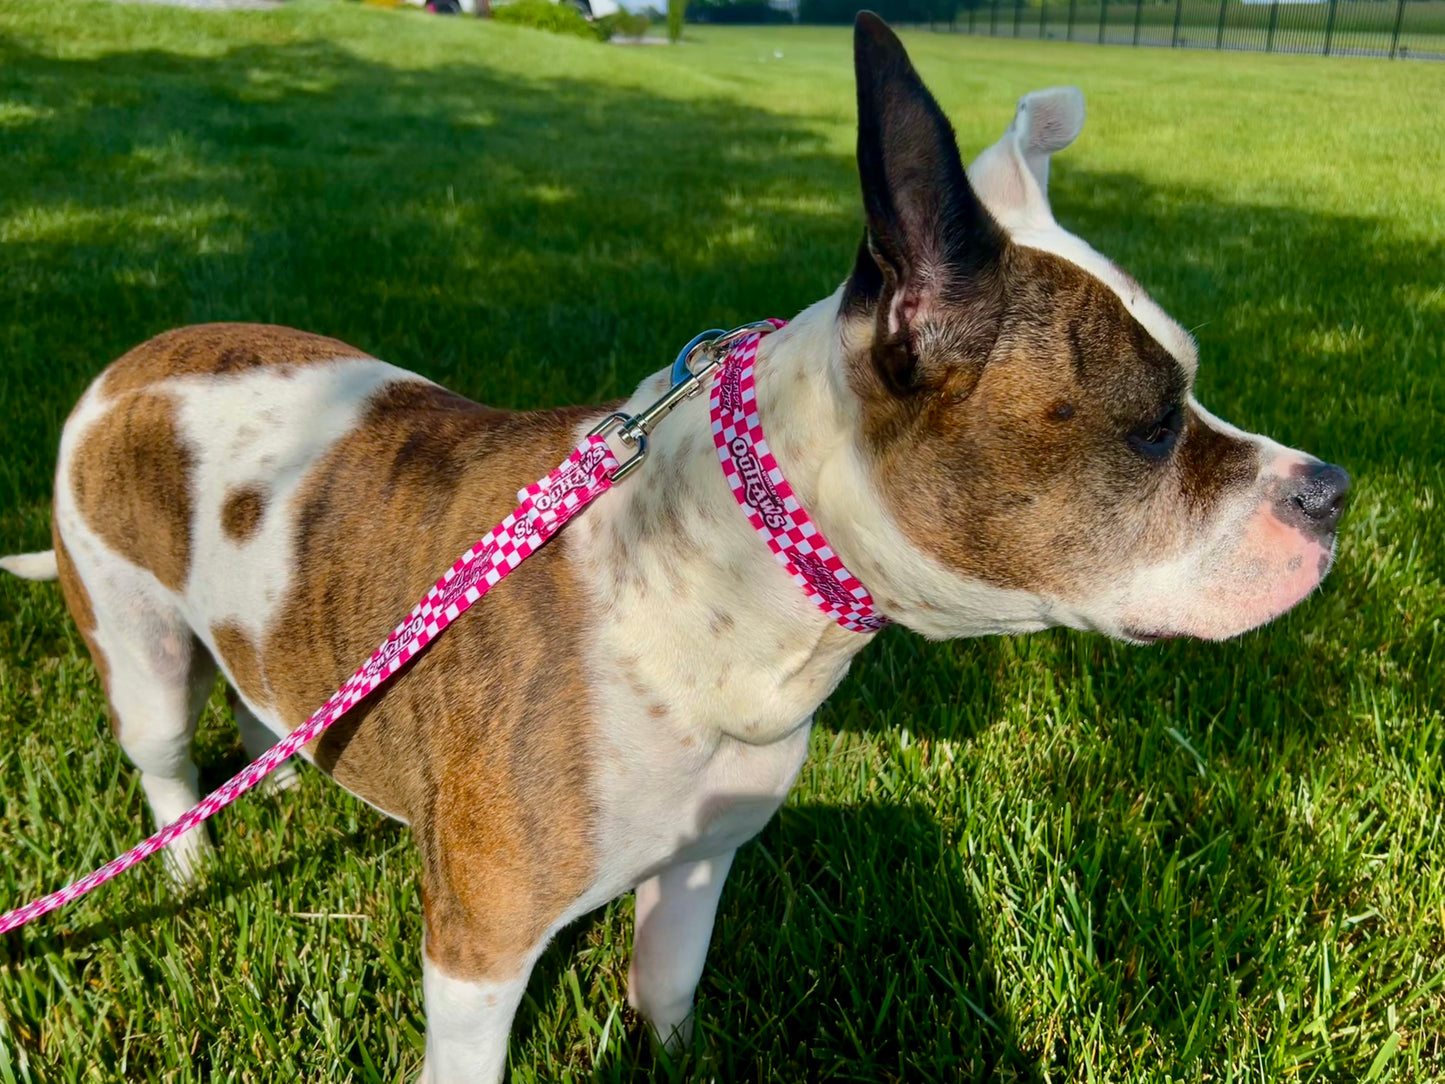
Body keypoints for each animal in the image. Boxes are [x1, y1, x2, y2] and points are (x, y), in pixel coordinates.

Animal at [5, 12, 1346, 1081]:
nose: (1330, 489)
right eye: (1151, 425)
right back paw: (188, 867)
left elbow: (666, 988)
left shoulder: (699, 868)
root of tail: (129, 366)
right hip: (134, 651)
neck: (733, 571)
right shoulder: (479, 949)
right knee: (163, 760)